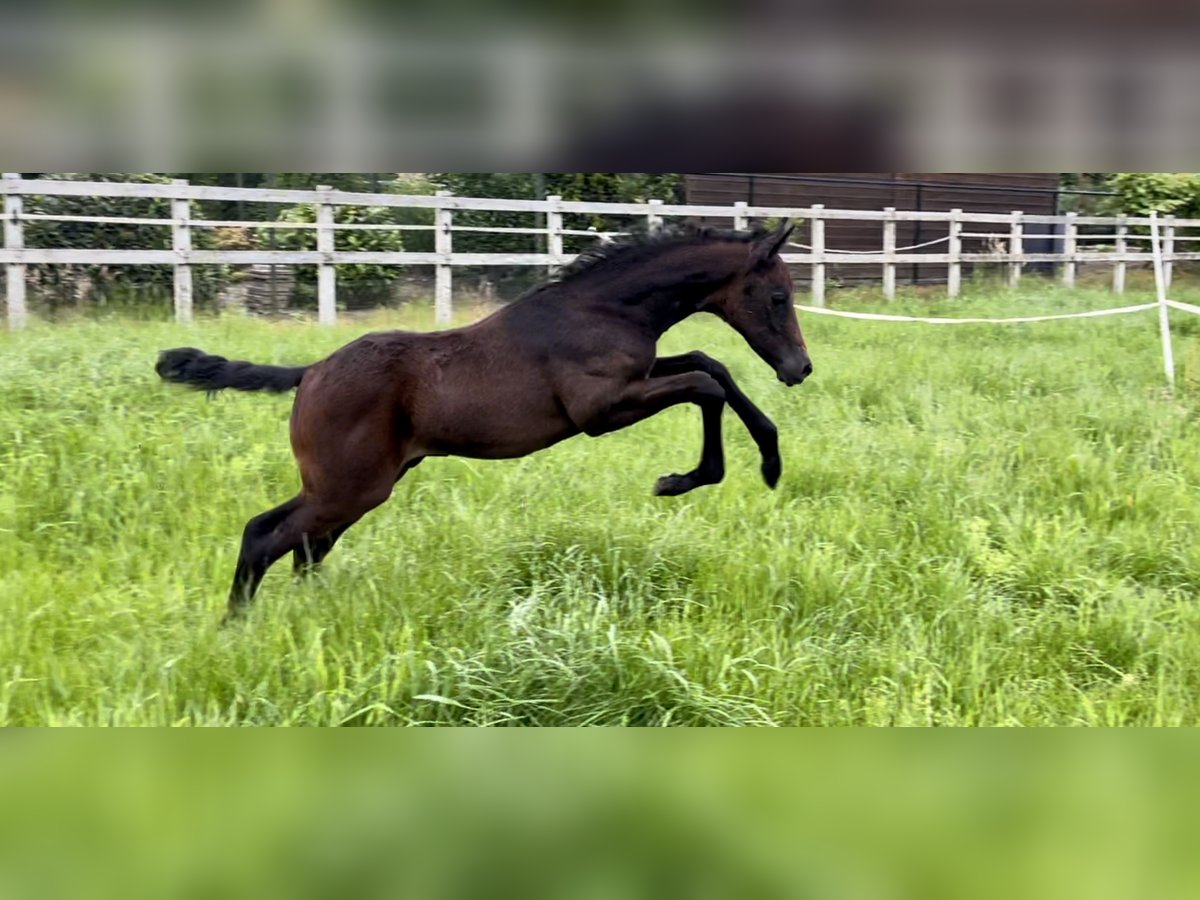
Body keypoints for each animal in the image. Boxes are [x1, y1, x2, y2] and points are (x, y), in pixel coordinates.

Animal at [159, 223, 811, 619]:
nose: (799, 368)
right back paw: (234, 631)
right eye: (778, 297)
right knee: (265, 537)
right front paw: (686, 479)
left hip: (350, 490)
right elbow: (706, 384)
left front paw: (771, 461)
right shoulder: (601, 409)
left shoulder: (640, 378)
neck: (600, 309)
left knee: (300, 548)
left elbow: (709, 365)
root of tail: (310, 372)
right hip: (348, 489)